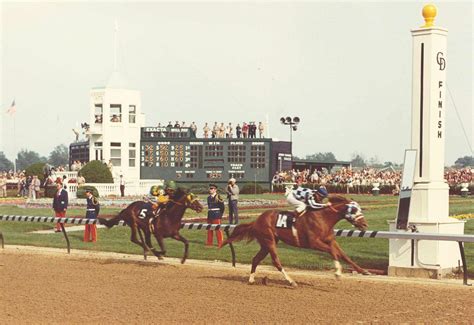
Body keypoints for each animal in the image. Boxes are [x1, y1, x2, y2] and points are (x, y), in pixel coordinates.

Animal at [222, 194, 370, 284]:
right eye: (354, 210)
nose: (364, 225)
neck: (323, 217)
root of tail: (257, 220)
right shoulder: (313, 243)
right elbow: (332, 251)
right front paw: (338, 273)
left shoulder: (331, 240)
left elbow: (344, 255)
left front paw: (363, 271)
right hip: (269, 241)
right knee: (276, 261)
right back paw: (291, 281)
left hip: (266, 243)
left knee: (255, 259)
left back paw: (251, 279)